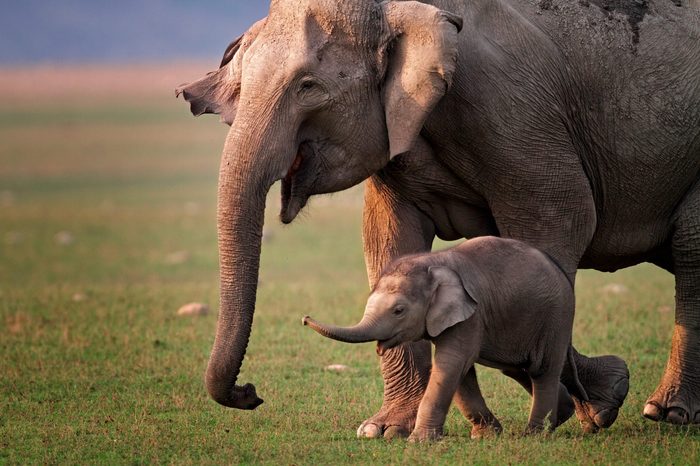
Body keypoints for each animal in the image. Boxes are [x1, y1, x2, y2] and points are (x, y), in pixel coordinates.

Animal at [304, 237, 588, 440]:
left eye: (399, 311)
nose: (304, 318)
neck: (432, 262)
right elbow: (461, 371)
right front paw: (486, 436)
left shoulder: (471, 315)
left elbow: (451, 364)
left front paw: (419, 442)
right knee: (516, 368)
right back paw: (562, 413)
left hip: (556, 317)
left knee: (542, 370)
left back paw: (535, 434)